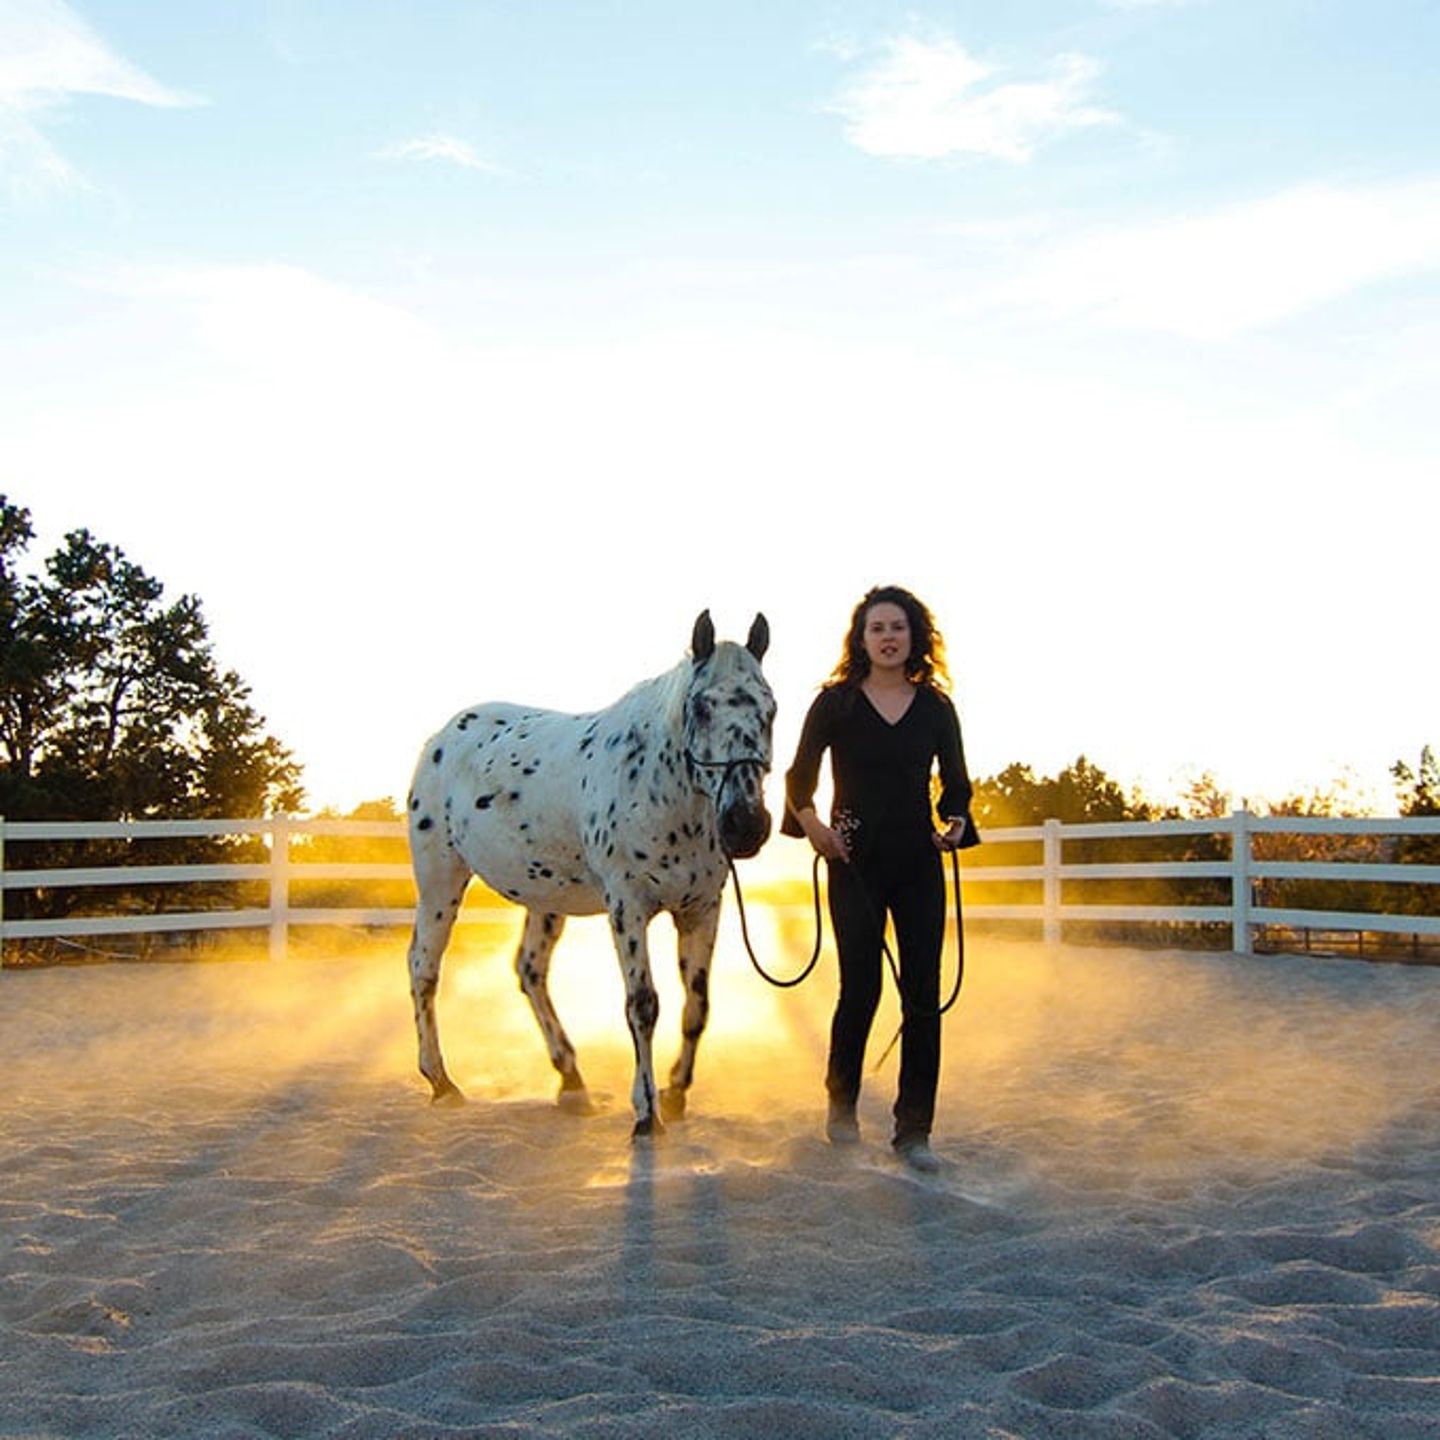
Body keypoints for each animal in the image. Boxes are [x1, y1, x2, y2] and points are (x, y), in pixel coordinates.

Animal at [405, 610, 775, 1136]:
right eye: (701, 707)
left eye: (771, 709)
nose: (745, 825)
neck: (663, 790)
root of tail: (443, 736)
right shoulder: (628, 906)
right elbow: (643, 1004)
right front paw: (646, 1113)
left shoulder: (702, 907)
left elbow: (697, 1005)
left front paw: (676, 1093)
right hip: (440, 879)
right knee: (424, 967)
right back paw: (441, 1081)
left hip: (545, 897)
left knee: (530, 970)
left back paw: (571, 1079)